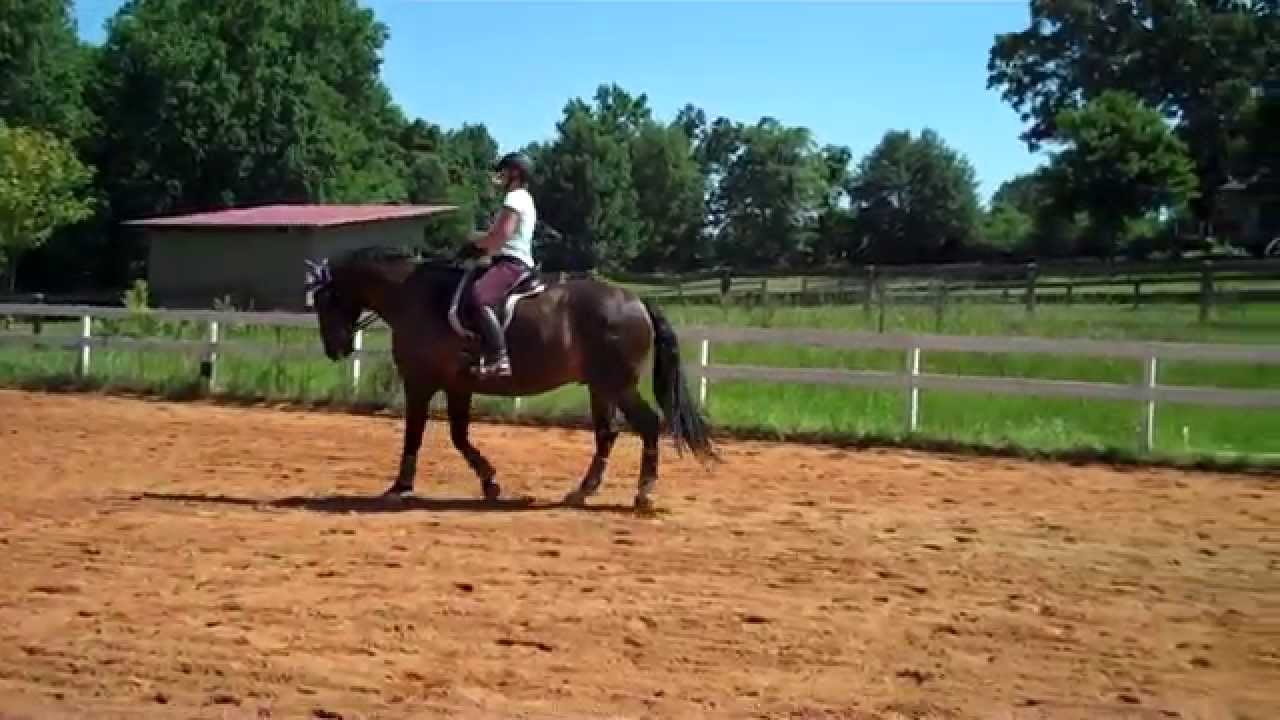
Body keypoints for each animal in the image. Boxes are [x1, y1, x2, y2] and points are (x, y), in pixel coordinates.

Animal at [304, 246, 718, 512]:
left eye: (324, 300)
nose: (334, 348)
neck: (415, 297)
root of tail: (637, 301)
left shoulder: (419, 382)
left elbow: (415, 435)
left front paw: (400, 488)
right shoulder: (458, 385)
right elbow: (459, 436)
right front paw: (490, 482)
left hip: (617, 384)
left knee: (646, 425)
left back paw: (643, 494)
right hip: (601, 387)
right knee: (607, 434)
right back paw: (582, 492)